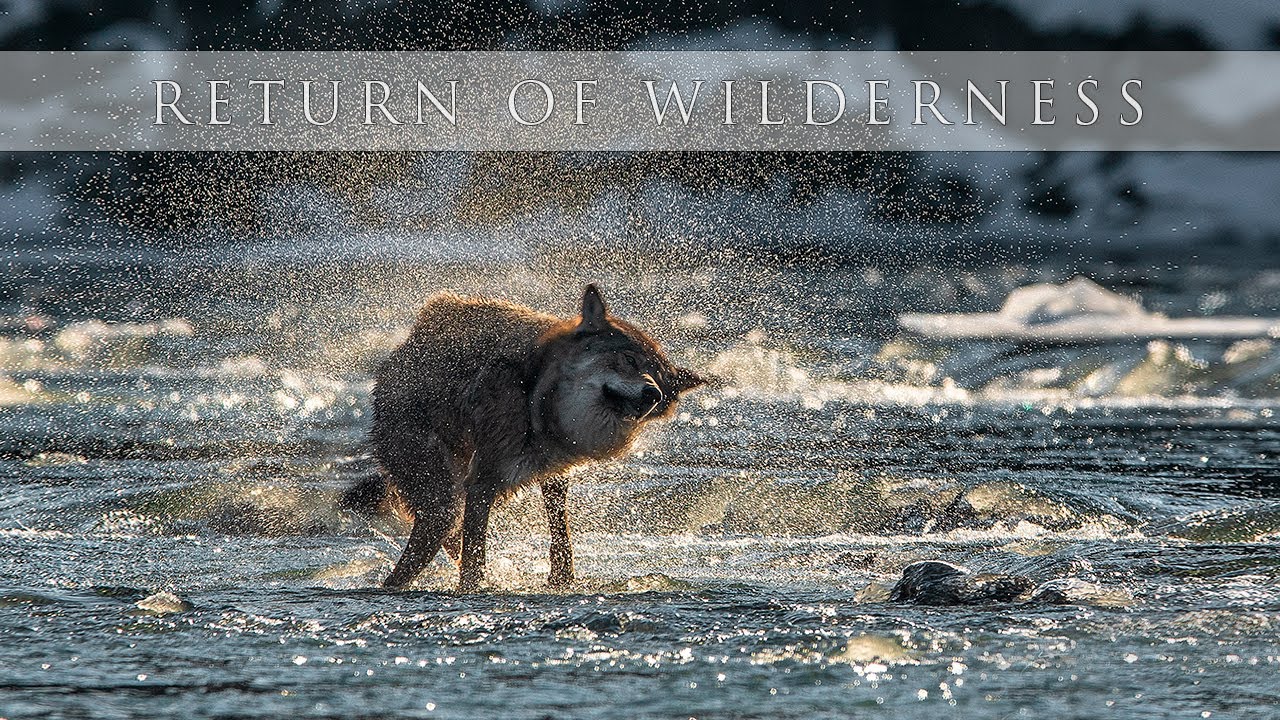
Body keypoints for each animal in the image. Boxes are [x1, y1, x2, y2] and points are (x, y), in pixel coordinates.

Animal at [348, 284, 704, 592]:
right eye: (629, 360)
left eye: (661, 381)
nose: (653, 395)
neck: (537, 399)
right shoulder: (483, 481)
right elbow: (475, 555)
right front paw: (473, 589)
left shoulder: (554, 475)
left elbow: (560, 534)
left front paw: (561, 581)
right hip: (441, 501)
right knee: (425, 551)